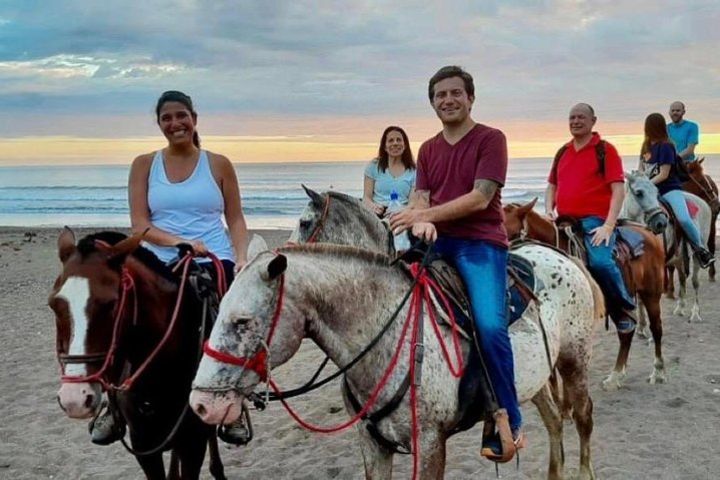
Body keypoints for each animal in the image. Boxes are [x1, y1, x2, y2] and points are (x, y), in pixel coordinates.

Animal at [193, 230, 608, 476]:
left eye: (243, 321)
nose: (200, 405)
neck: (390, 336)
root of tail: (561, 256)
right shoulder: (373, 445)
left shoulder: (430, 445)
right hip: (534, 380)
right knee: (554, 420)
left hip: (574, 361)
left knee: (583, 416)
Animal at [504, 179, 668, 390]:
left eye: (510, 233)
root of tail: (648, 233)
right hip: (615, 301)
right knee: (626, 332)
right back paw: (616, 375)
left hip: (651, 293)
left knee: (656, 328)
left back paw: (658, 371)